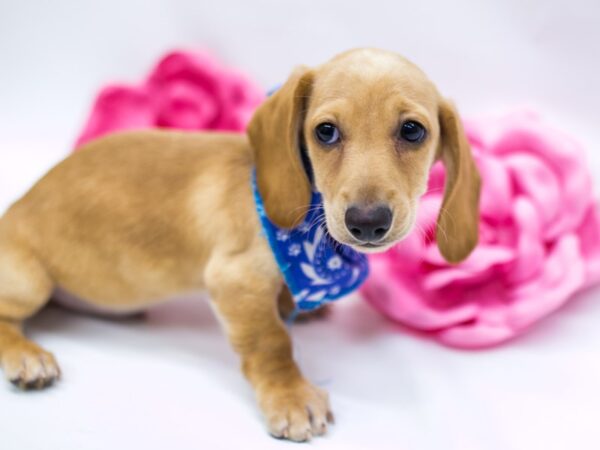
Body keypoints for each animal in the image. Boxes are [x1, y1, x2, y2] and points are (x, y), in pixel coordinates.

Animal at [0, 47, 480, 442]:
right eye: (325, 132)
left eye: (413, 131)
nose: (366, 223)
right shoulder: (235, 280)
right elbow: (270, 341)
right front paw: (290, 396)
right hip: (31, 280)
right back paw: (27, 358)